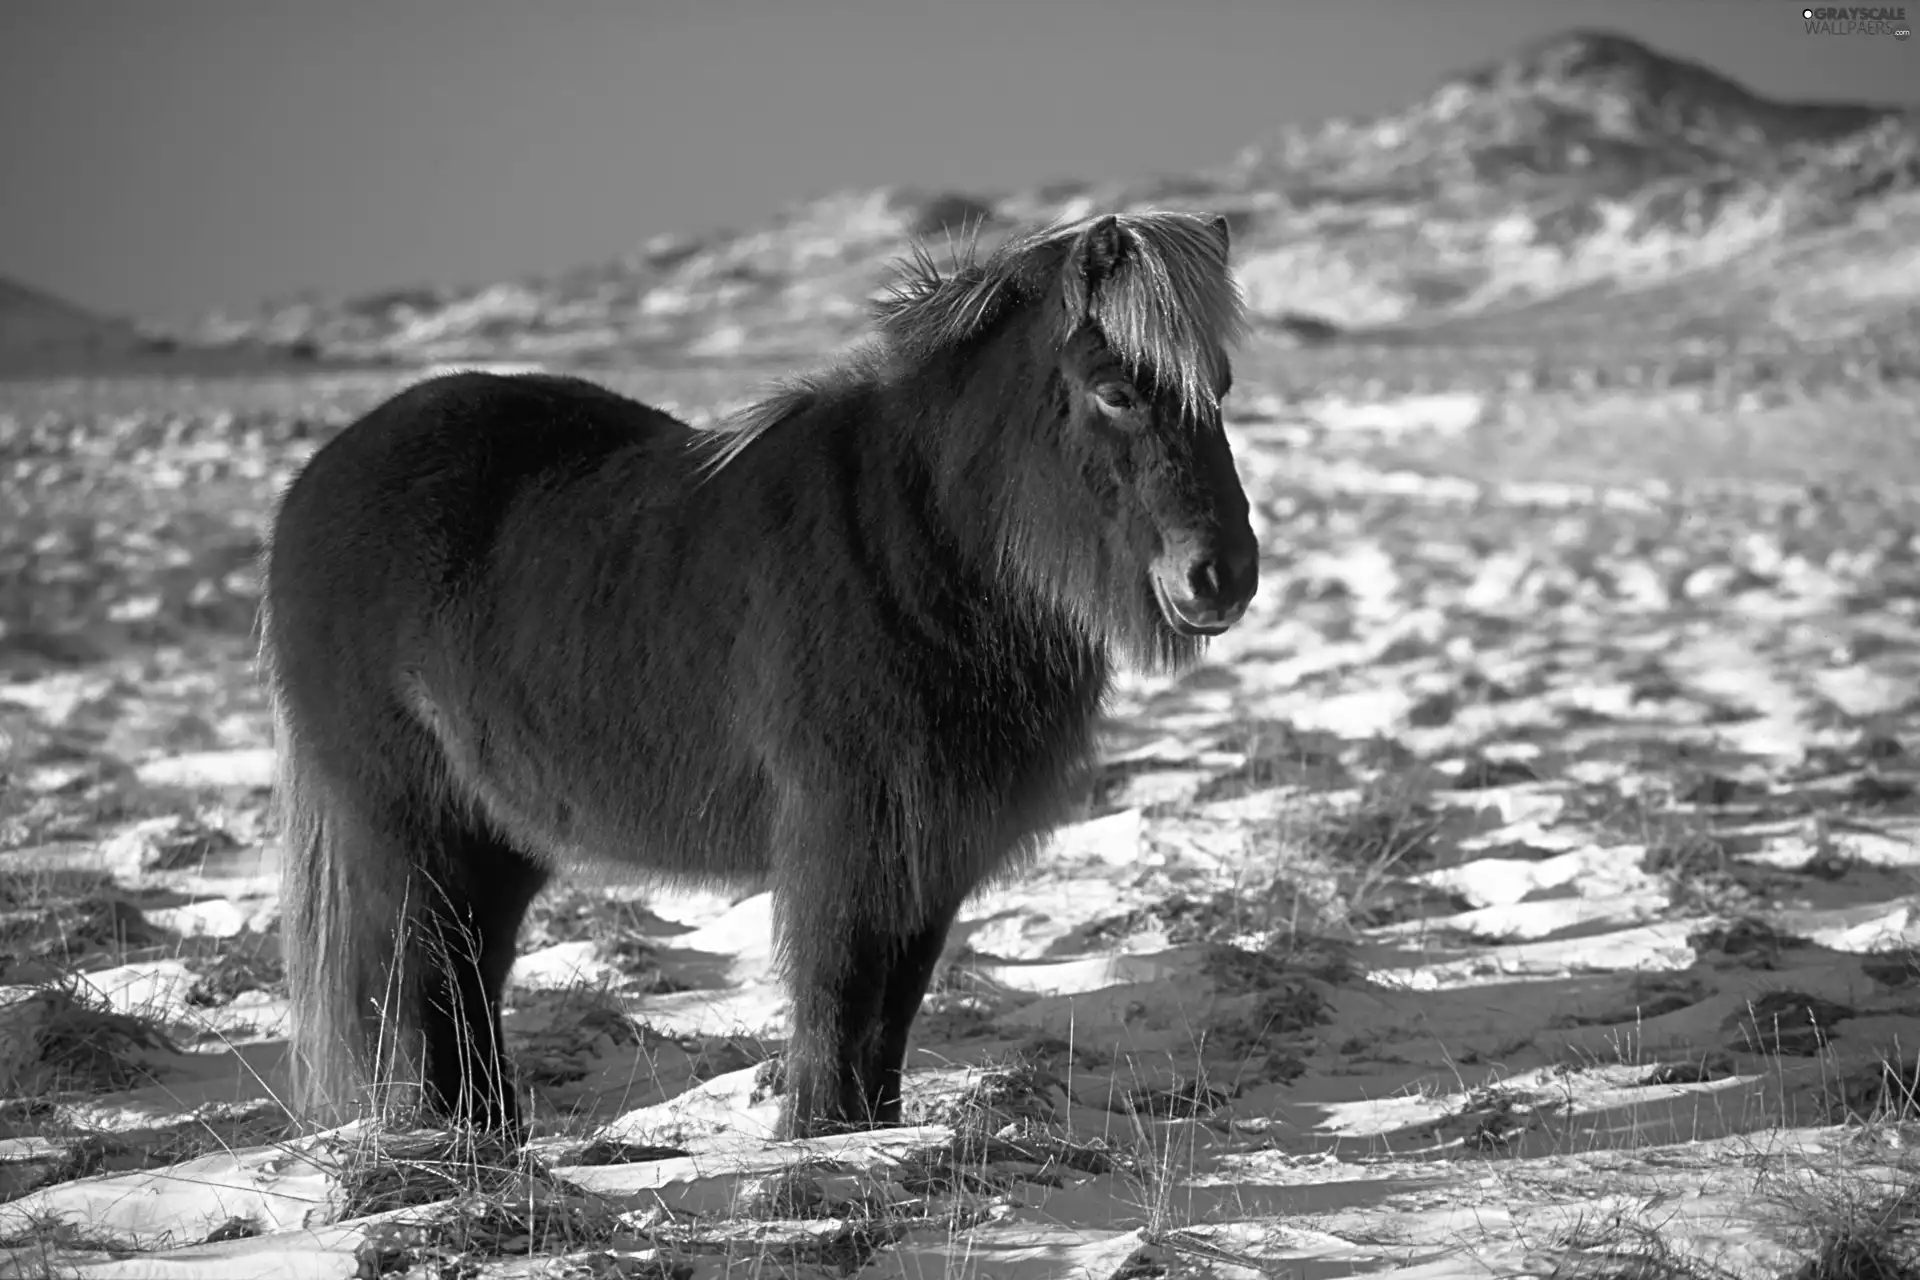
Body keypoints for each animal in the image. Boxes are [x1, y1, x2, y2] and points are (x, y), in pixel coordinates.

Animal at [266, 210, 1259, 1143]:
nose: (1224, 576)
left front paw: (870, 1133)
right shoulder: (846, 837)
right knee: (425, 977)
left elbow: (893, 1007)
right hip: (408, 824)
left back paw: (492, 1132)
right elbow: (838, 990)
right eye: (1117, 391)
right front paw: (816, 1137)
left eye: (1219, 388)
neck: (917, 546)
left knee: (470, 972)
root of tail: (317, 478)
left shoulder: (933, 846)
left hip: (496, 835)